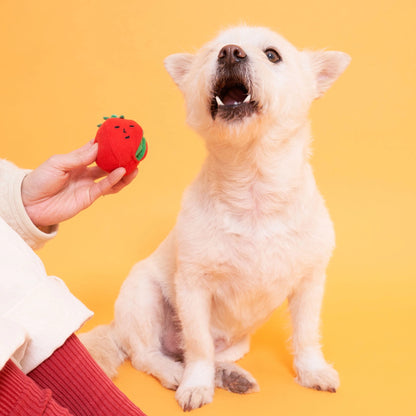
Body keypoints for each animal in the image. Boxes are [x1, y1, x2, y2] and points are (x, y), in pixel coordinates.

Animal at [80, 25, 348, 410]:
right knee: (149, 355)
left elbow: (307, 333)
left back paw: (230, 376)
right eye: (212, 52)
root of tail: (117, 328)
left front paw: (312, 370)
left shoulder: (310, 282)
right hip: (143, 296)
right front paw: (195, 385)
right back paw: (175, 373)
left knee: (205, 353)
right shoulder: (193, 287)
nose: (230, 52)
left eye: (272, 55)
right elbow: (198, 346)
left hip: (237, 342)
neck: (253, 187)